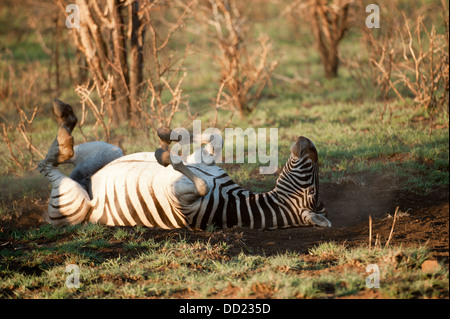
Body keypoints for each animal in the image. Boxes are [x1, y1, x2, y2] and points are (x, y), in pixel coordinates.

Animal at [37, 100, 330, 230]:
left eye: (312, 191)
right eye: (313, 183)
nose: (309, 142)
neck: (235, 199)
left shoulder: (183, 202)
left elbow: (200, 185)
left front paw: (165, 156)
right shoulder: (204, 161)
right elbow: (215, 137)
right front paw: (167, 134)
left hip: (75, 202)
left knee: (47, 166)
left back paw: (65, 128)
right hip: (111, 150)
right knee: (55, 158)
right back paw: (65, 116)